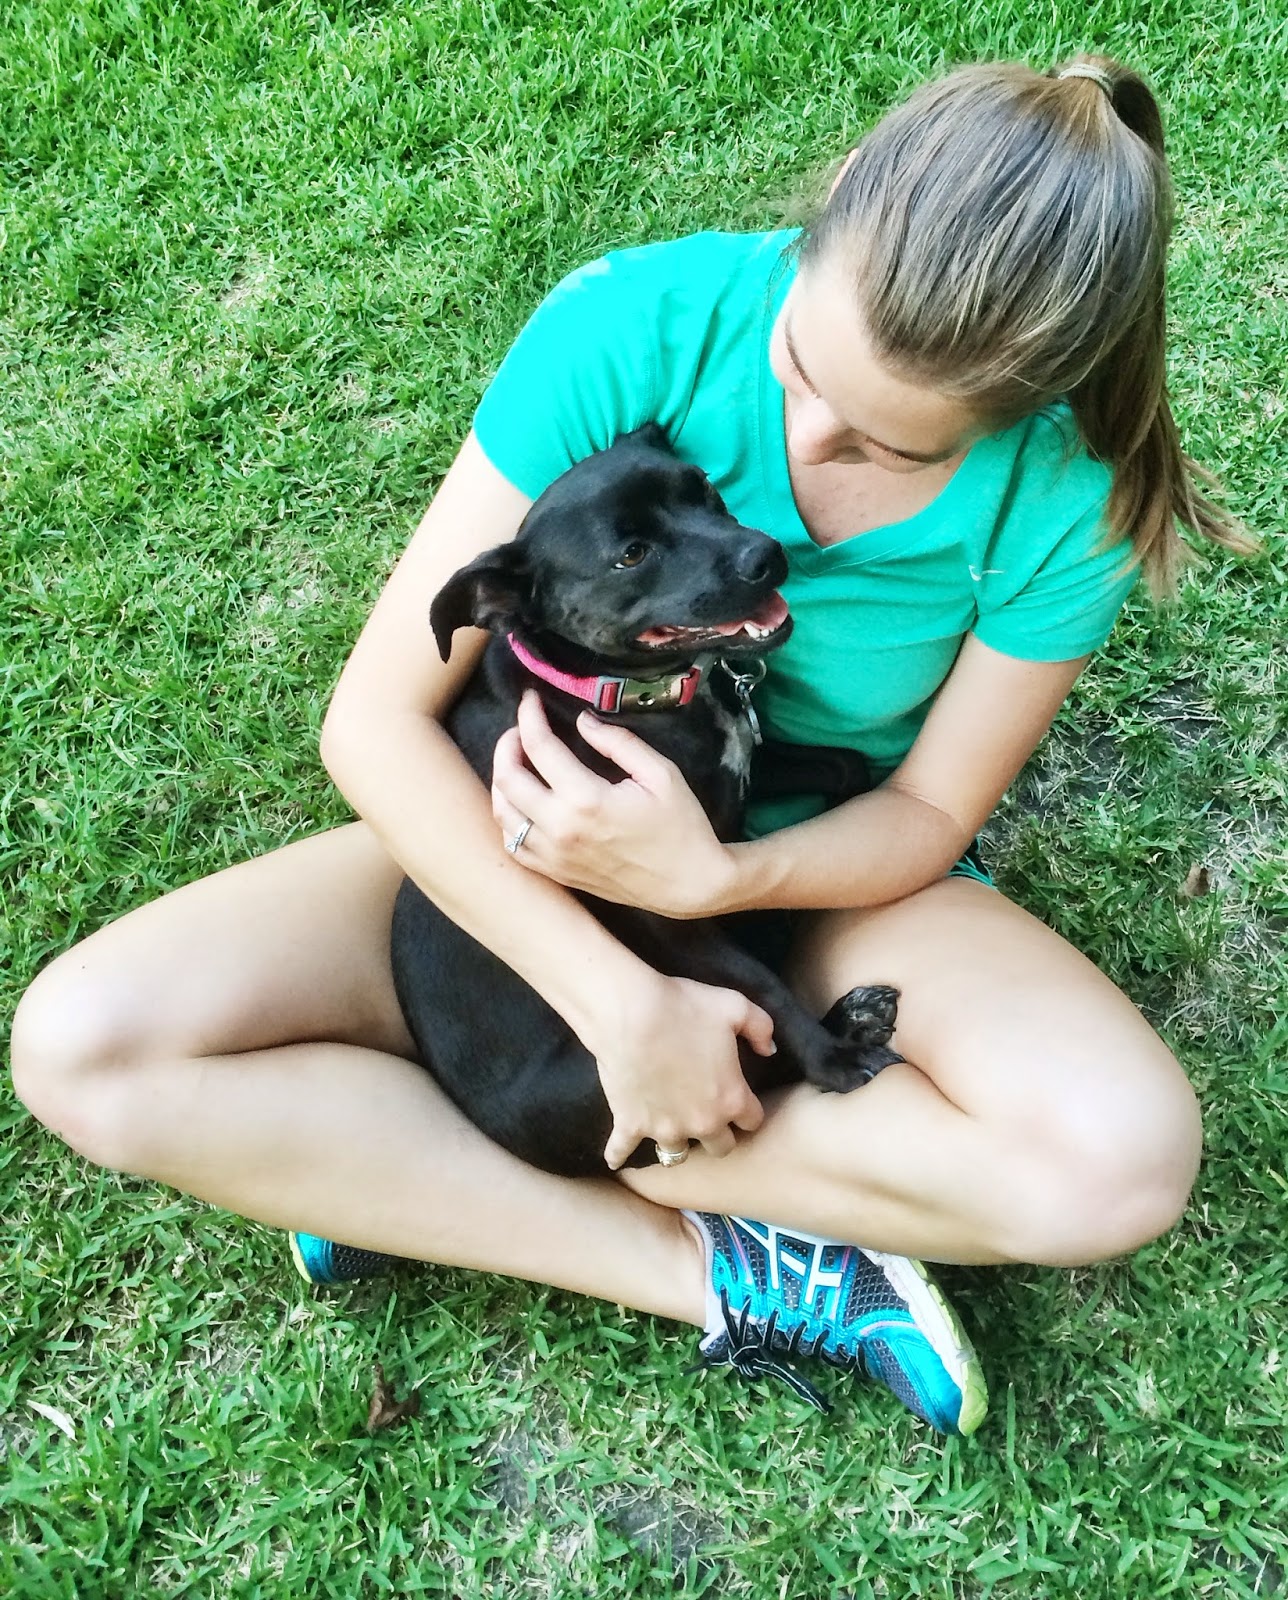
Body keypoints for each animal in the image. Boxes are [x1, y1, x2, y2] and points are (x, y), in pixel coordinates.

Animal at [389, 425, 903, 1177]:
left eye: (703, 488)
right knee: (750, 1059)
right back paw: (840, 1025)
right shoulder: (666, 912)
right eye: (630, 555)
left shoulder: (739, 772)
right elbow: (761, 987)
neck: (606, 693)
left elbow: (846, 767)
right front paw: (831, 1059)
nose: (767, 555)